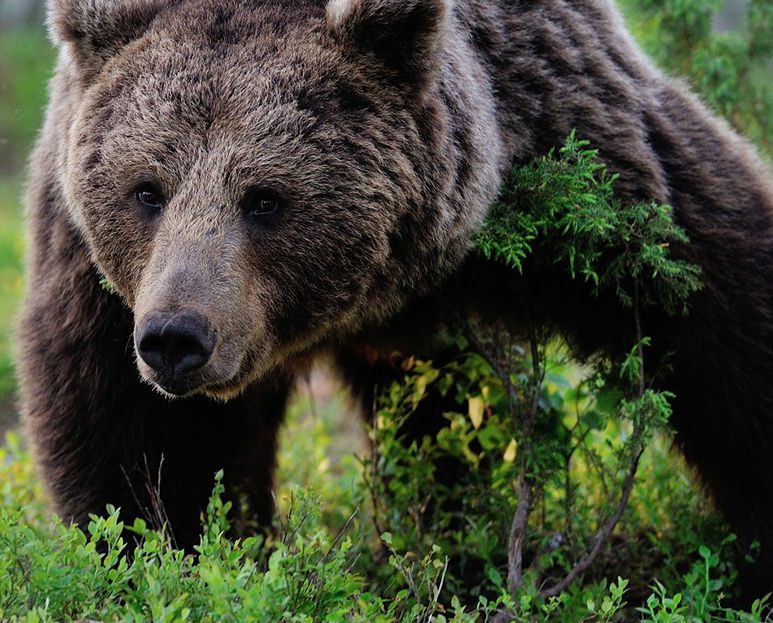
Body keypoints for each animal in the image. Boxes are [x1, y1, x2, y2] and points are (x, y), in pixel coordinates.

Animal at [18, 0, 772, 600]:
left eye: (265, 198)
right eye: (146, 189)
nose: (177, 337)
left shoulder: (563, 128)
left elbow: (714, 300)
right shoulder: (95, 276)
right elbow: (136, 442)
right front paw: (166, 558)